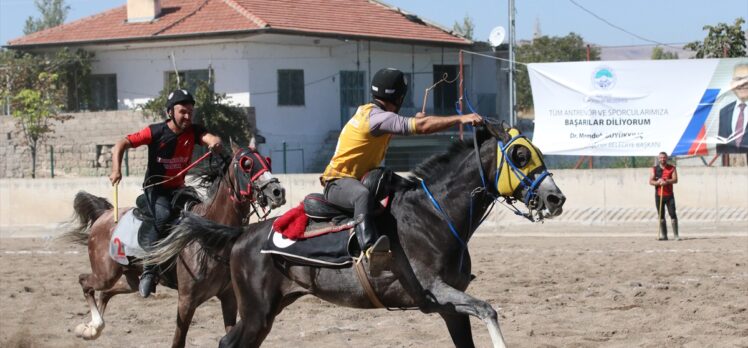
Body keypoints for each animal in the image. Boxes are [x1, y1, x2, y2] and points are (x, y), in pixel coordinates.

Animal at [62, 143, 284, 346]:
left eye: (267, 161)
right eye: (246, 164)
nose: (277, 191)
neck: (208, 237)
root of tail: (105, 214)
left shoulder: (228, 298)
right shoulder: (186, 301)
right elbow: (178, 341)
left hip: (131, 279)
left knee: (106, 292)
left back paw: (92, 328)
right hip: (105, 274)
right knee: (85, 282)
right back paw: (92, 327)